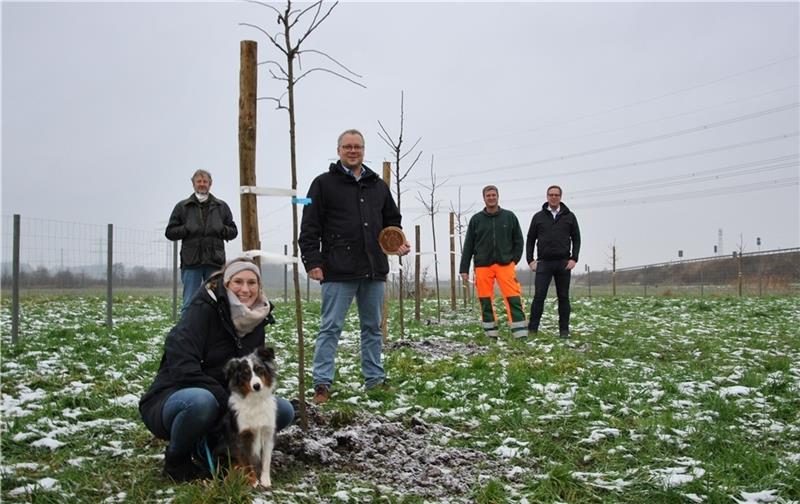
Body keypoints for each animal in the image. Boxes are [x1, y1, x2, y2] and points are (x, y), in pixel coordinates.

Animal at [216, 346, 278, 488]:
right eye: (246, 374)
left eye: (259, 369)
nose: (257, 386)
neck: (255, 401)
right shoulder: (241, 437)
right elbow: (247, 461)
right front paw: (253, 480)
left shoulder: (268, 433)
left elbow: (266, 459)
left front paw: (265, 480)